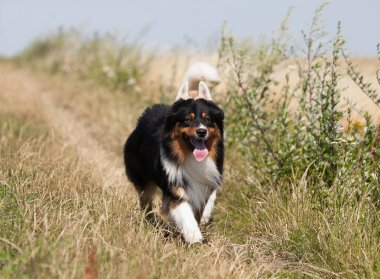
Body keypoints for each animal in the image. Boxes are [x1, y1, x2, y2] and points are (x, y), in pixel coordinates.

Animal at [124, 62, 224, 244]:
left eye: (208, 119)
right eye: (187, 120)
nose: (201, 132)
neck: (191, 157)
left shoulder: (207, 182)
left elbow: (203, 205)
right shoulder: (175, 187)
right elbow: (184, 211)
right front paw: (194, 236)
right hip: (142, 176)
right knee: (145, 201)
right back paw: (150, 221)